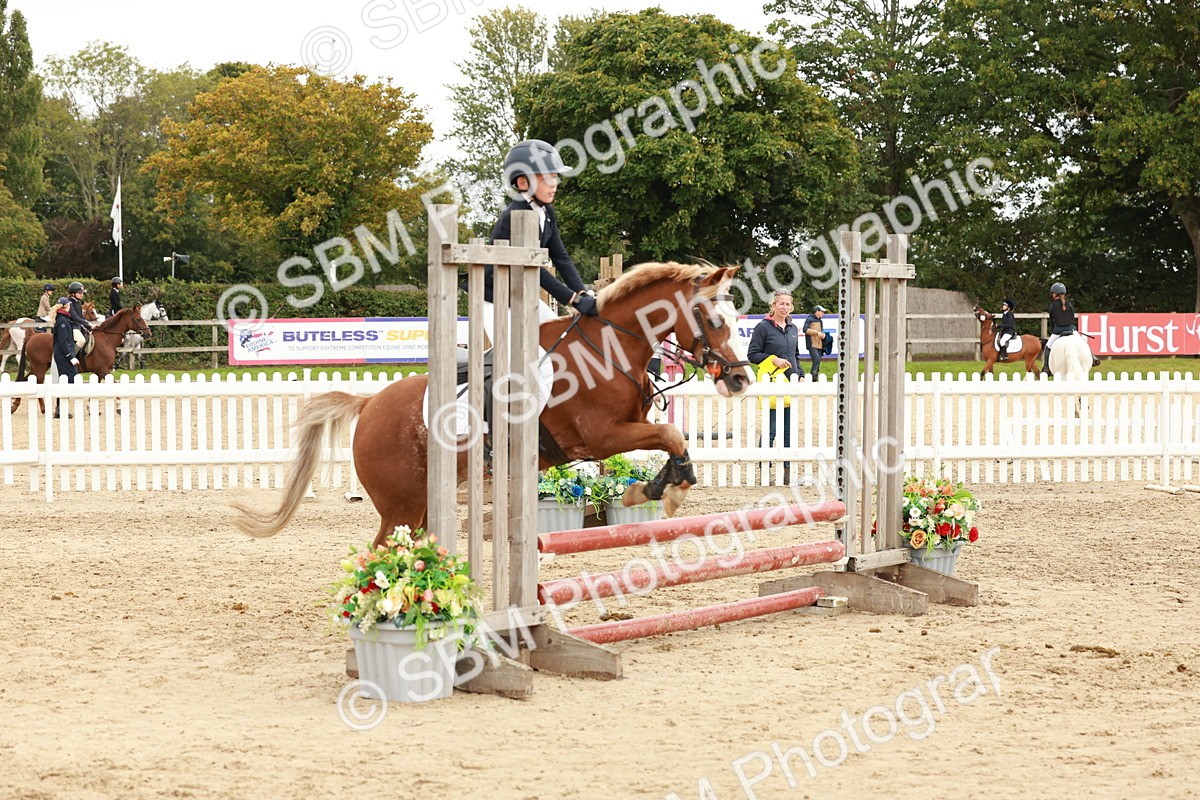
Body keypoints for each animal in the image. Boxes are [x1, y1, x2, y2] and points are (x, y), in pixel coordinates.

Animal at [11, 306, 153, 413]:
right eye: (139, 319)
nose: (148, 334)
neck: (106, 338)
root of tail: (31, 338)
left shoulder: (99, 371)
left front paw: (90, 408)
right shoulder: (103, 370)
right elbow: (115, 384)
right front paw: (119, 406)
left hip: (39, 367)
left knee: (28, 380)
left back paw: (26, 406)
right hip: (39, 367)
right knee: (34, 381)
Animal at [234, 262, 754, 549]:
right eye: (712, 319)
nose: (741, 379)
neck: (608, 347)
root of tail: (369, 404)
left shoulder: (626, 427)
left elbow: (670, 439)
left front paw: (654, 487)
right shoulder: (600, 436)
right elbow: (671, 435)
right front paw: (663, 491)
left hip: (424, 501)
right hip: (401, 506)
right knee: (380, 549)